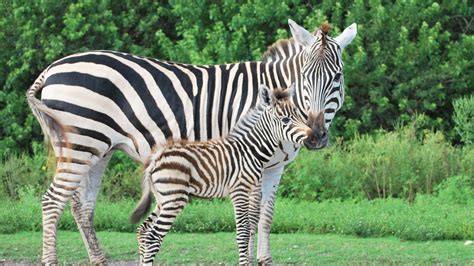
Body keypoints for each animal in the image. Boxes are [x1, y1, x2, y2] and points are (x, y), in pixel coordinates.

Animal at [134, 84, 312, 264]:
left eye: (299, 115)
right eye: (285, 120)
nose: (313, 137)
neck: (251, 150)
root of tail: (157, 157)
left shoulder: (252, 190)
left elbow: (251, 226)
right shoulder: (239, 191)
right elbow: (243, 232)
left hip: (163, 199)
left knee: (144, 230)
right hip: (174, 198)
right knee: (153, 237)